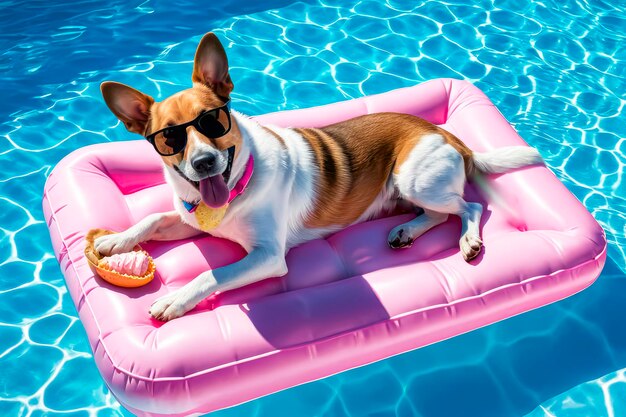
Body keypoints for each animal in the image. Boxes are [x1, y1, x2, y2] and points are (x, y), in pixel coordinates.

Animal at [95, 32, 540, 320]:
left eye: (212, 122)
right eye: (168, 138)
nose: (204, 163)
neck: (237, 188)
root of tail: (449, 135)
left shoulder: (267, 256)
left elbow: (212, 272)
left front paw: (176, 300)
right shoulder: (191, 214)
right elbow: (153, 217)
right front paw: (116, 241)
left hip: (416, 179)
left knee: (469, 207)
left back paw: (468, 240)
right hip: (410, 191)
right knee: (437, 214)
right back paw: (407, 231)